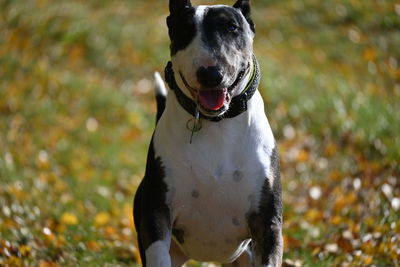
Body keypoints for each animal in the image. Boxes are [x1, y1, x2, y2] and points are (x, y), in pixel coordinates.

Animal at [133, 1, 282, 266]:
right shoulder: (156, 212)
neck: (217, 124)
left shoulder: (268, 223)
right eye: (185, 29)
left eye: (232, 27)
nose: (211, 74)